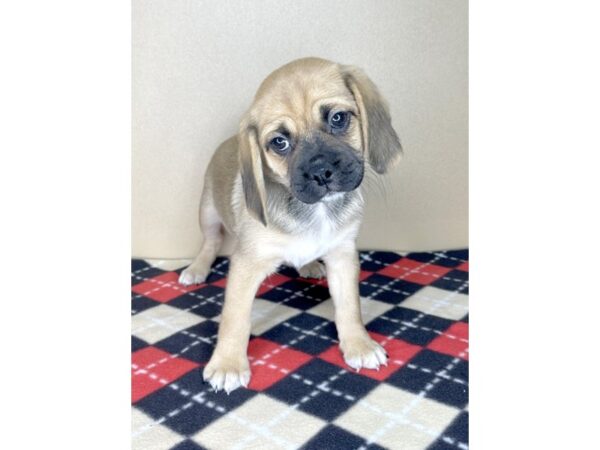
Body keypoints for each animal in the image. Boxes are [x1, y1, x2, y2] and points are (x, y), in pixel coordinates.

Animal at [179, 57, 404, 394]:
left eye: (338, 118)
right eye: (280, 142)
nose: (321, 172)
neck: (314, 212)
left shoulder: (342, 255)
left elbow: (349, 306)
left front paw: (358, 344)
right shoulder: (246, 265)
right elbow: (235, 318)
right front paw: (228, 363)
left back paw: (308, 265)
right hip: (207, 211)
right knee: (210, 241)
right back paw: (197, 268)